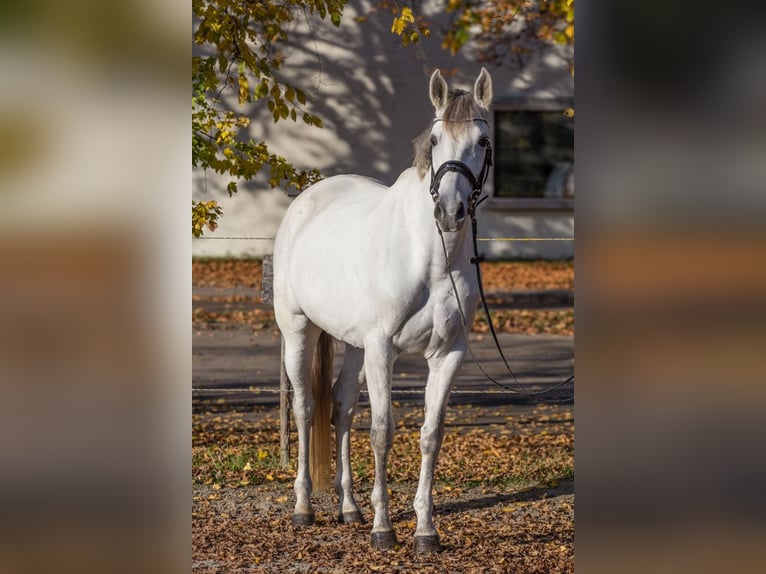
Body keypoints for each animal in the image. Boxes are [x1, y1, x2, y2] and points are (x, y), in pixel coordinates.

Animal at [272, 66, 496, 552]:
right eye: (435, 139)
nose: (449, 211)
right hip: (300, 332)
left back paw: (348, 508)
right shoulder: (382, 350)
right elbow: (381, 432)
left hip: (354, 346)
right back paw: (304, 508)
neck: (430, 258)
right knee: (305, 408)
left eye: (483, 142)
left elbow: (431, 434)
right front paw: (384, 528)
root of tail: (305, 202)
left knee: (339, 408)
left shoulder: (448, 354)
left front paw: (426, 530)